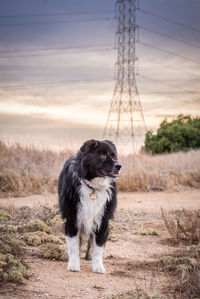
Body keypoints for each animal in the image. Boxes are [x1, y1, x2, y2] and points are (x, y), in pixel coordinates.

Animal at [57, 140, 121, 274]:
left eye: (114, 156)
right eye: (102, 155)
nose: (119, 166)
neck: (93, 187)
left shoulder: (103, 220)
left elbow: (98, 247)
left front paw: (98, 266)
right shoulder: (72, 219)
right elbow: (73, 245)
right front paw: (73, 264)